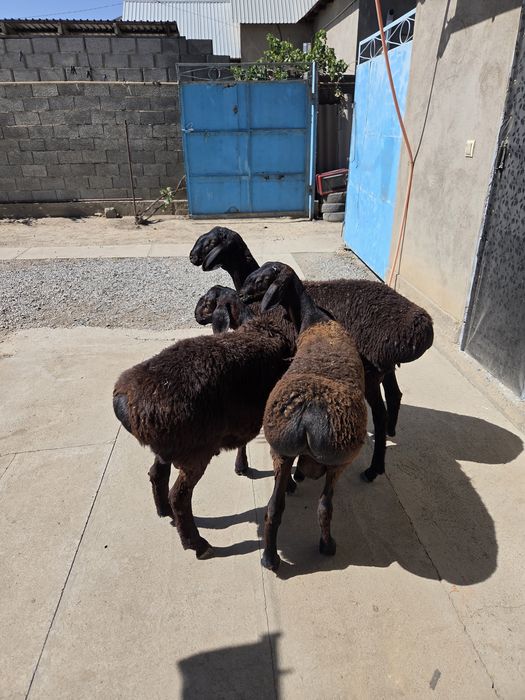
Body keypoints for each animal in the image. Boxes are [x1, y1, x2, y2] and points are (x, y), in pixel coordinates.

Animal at [112, 311, 295, 559]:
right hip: (194, 452)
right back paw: (197, 543)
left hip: (171, 447)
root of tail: (124, 403)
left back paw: (164, 512)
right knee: (179, 496)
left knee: (157, 474)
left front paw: (243, 466)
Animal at [190, 227, 433, 482]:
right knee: (395, 395)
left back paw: (374, 469)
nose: (192, 257)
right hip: (384, 368)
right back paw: (388, 433)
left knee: (380, 413)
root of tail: (419, 325)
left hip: (371, 374)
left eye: (213, 242)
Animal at [240, 262, 367, 571]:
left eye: (262, 278)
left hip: (281, 450)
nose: (241, 296)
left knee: (275, 509)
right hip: (339, 461)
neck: (314, 320)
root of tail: (309, 417)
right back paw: (327, 546)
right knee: (325, 507)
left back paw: (270, 558)